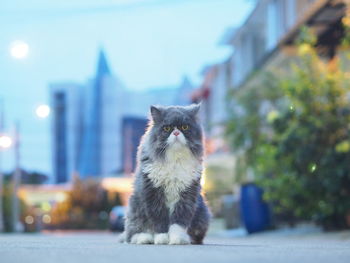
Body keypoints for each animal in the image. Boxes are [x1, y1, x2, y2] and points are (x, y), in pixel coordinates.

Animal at [119, 104, 209, 245]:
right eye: (167, 128)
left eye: (185, 127)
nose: (176, 133)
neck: (175, 160)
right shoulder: (153, 195)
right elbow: (159, 221)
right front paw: (162, 238)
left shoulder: (187, 196)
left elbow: (178, 223)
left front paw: (177, 239)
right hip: (135, 208)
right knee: (131, 235)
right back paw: (145, 238)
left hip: (202, 215)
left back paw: (187, 239)